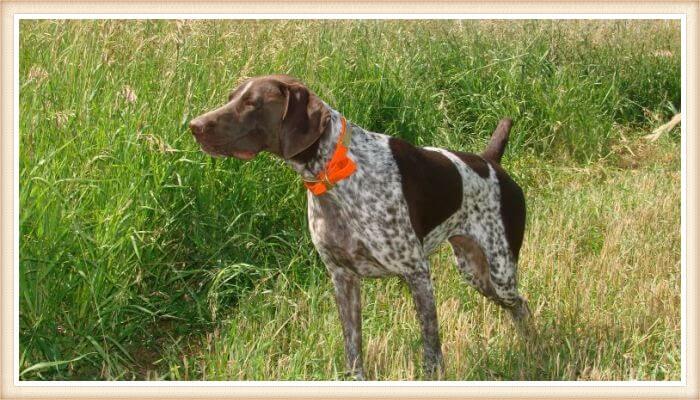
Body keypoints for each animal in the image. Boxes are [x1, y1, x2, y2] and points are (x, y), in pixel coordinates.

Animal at [189, 74, 528, 378]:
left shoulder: (416, 273)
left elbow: (431, 347)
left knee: (521, 305)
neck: (335, 172)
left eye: (252, 103)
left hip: (499, 272)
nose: (193, 125)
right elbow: (353, 349)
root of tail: (489, 161)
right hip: (475, 271)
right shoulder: (343, 279)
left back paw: (532, 352)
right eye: (231, 97)